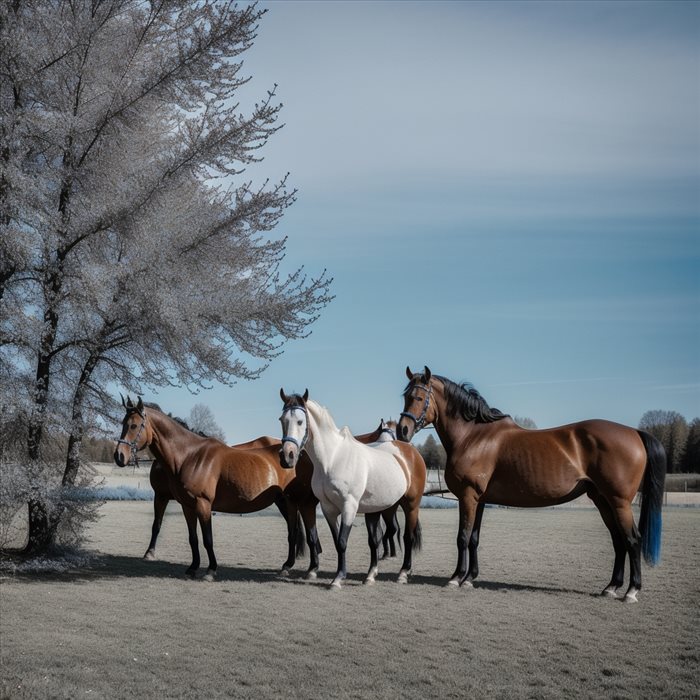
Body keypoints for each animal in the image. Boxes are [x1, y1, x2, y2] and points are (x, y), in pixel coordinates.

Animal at [115, 400, 322, 580]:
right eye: (123, 424)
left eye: (134, 426)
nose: (119, 456)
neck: (190, 456)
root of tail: (299, 455)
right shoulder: (187, 506)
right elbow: (193, 538)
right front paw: (193, 567)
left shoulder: (202, 504)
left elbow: (207, 539)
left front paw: (210, 570)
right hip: (288, 502)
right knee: (295, 532)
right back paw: (288, 566)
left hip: (300, 502)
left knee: (305, 533)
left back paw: (310, 568)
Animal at [276, 392, 424, 588]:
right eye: (282, 420)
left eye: (300, 421)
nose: (287, 456)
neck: (332, 459)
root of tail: (412, 452)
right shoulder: (328, 509)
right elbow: (337, 541)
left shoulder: (349, 507)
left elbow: (342, 541)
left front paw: (338, 578)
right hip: (376, 509)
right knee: (375, 541)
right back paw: (370, 575)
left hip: (411, 505)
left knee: (408, 537)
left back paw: (403, 573)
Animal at [396, 366, 664, 600]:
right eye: (405, 396)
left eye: (419, 397)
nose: (403, 430)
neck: (473, 436)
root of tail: (634, 432)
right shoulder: (479, 500)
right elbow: (474, 539)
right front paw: (470, 578)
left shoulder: (467, 496)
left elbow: (462, 537)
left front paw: (455, 578)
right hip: (602, 500)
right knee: (618, 541)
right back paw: (611, 587)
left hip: (619, 502)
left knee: (632, 540)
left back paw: (631, 591)